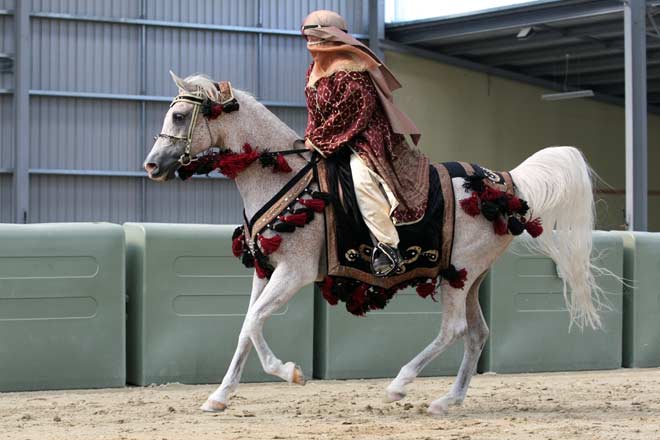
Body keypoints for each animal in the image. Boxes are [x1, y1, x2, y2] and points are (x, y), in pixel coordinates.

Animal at [144, 73, 604, 416]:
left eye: (180, 115)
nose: (151, 165)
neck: (286, 176)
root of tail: (506, 184)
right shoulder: (266, 269)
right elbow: (246, 326)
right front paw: (219, 396)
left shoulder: (294, 272)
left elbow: (255, 321)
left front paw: (289, 371)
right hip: (469, 277)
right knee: (476, 335)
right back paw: (447, 400)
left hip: (460, 274)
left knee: (454, 330)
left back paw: (400, 385)